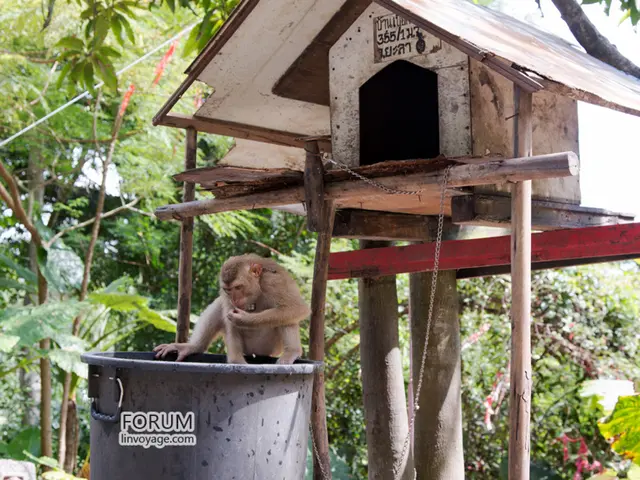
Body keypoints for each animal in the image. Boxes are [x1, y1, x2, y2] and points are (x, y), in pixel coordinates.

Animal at [153, 253, 310, 365]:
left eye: (238, 287)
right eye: (228, 290)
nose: (235, 300)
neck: (258, 286)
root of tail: (256, 353)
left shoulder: (273, 282)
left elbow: (297, 308)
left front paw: (245, 320)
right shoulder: (224, 294)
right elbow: (229, 321)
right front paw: (237, 362)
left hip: (271, 346)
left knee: (287, 314)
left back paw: (292, 352)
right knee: (219, 306)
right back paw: (194, 346)